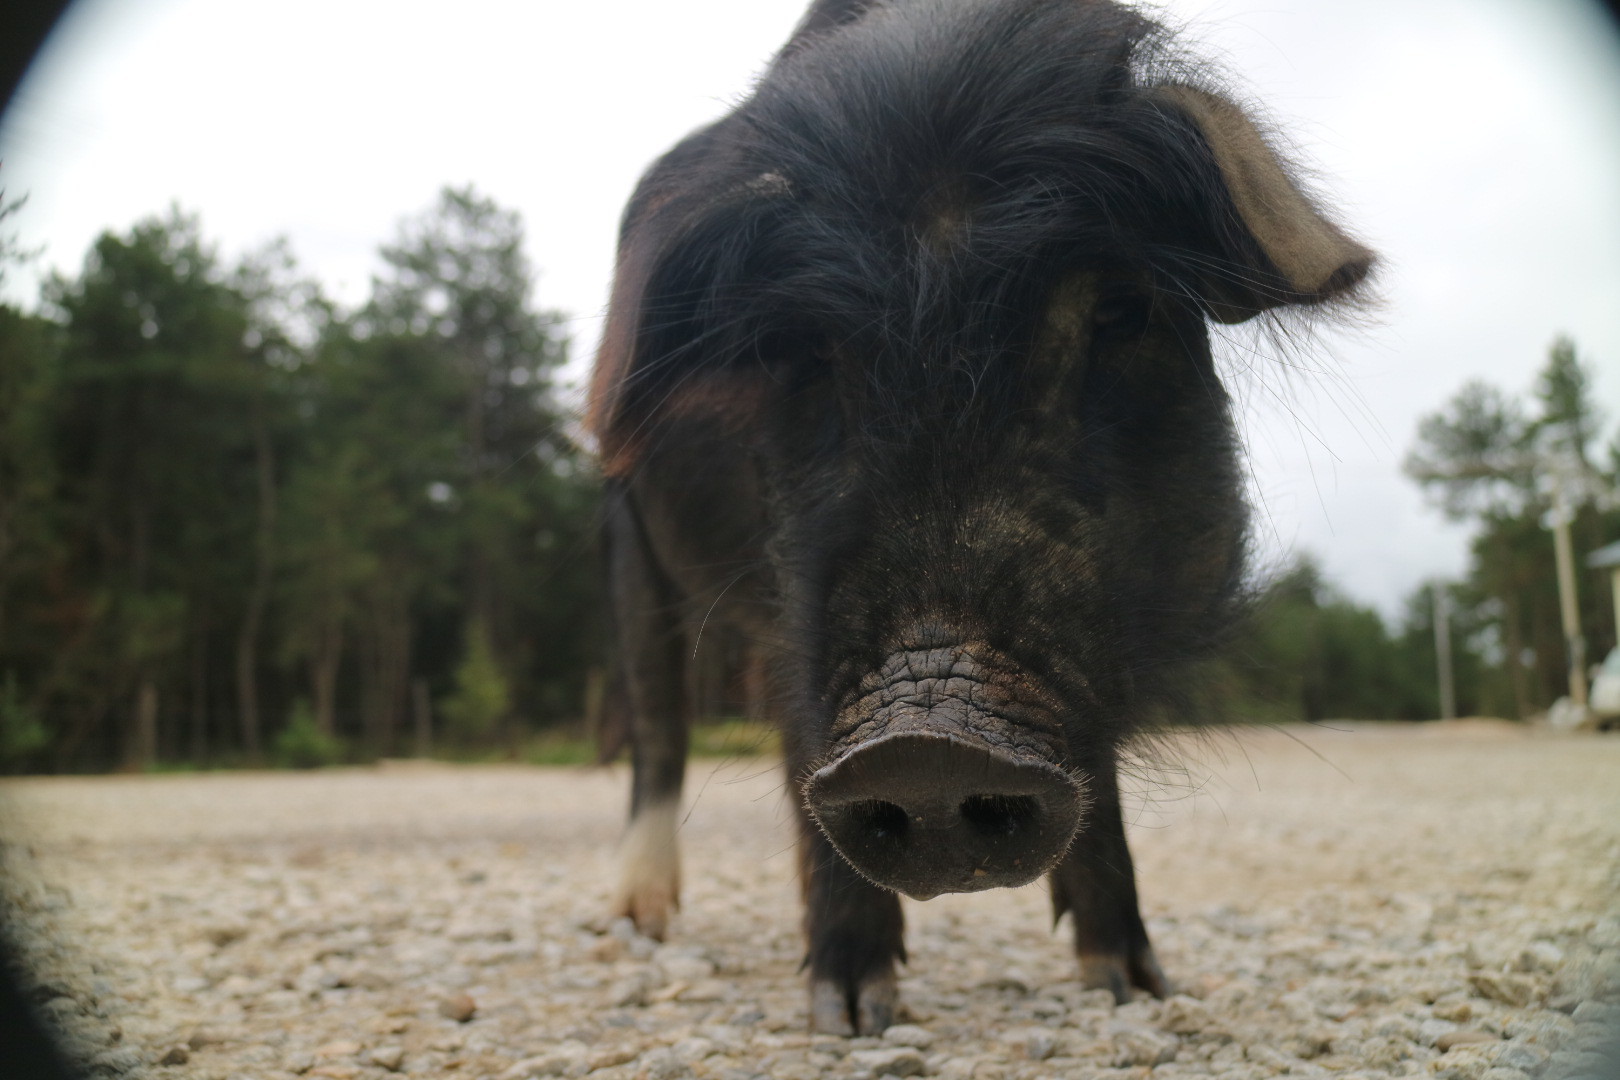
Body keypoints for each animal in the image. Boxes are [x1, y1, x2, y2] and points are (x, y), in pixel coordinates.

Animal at [589, 0, 1373, 1036]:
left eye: (1120, 310)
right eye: (802, 350)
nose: (926, 744)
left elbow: (1100, 789)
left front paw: (1134, 986)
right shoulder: (797, 601)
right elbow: (796, 752)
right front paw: (852, 1015)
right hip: (632, 546)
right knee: (659, 722)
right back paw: (639, 924)